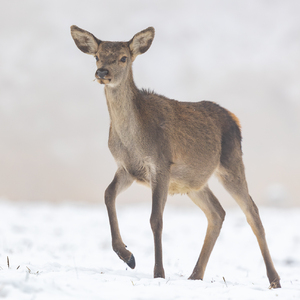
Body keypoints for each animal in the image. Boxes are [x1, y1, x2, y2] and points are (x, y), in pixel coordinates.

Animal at [70, 25, 282, 288]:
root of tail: (235, 119)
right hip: (193, 182)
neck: (133, 141)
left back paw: (274, 280)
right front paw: (127, 255)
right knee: (217, 213)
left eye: (123, 58)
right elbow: (108, 194)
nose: (102, 72)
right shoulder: (127, 168)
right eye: (97, 56)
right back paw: (195, 275)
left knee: (252, 212)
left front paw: (158, 272)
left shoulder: (161, 163)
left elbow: (156, 219)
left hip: (231, 163)